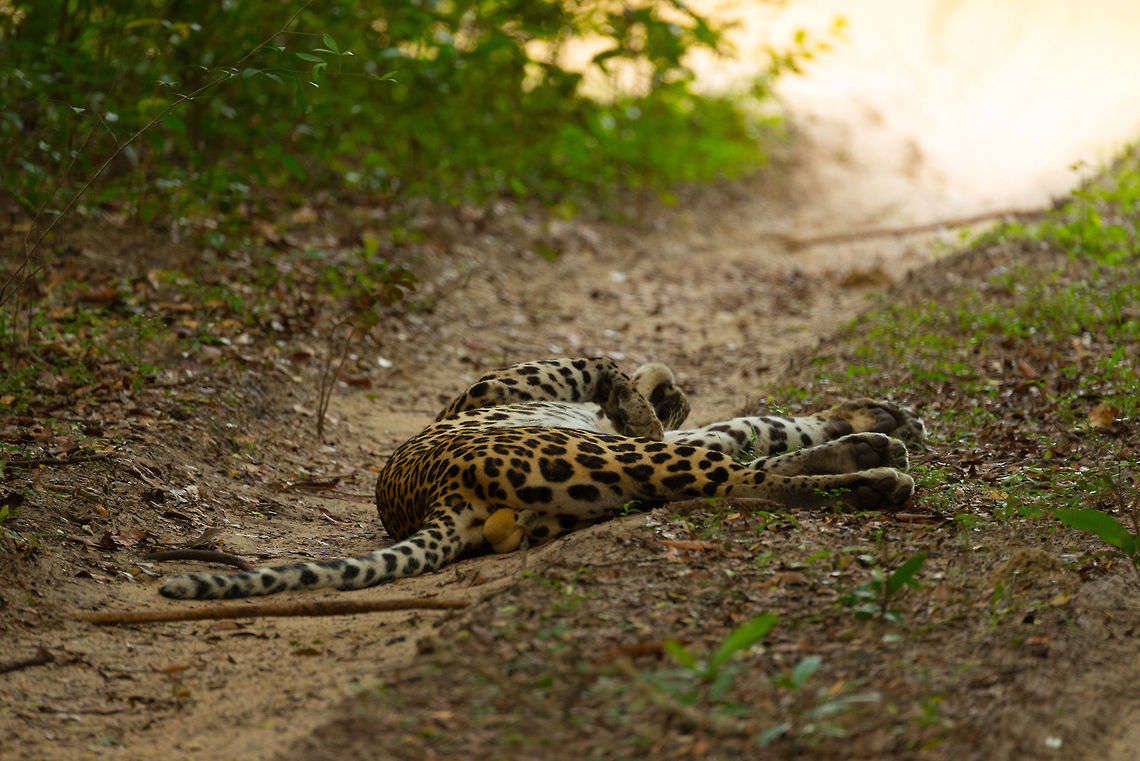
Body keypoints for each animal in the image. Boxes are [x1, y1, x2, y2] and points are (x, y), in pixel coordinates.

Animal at [159, 357, 925, 599]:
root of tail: (432, 500)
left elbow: (760, 425)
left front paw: (876, 415)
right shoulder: (511, 381)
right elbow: (609, 366)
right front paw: (649, 393)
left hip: (595, 475)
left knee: (732, 473)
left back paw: (871, 456)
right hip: (590, 456)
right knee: (729, 479)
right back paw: (875, 476)